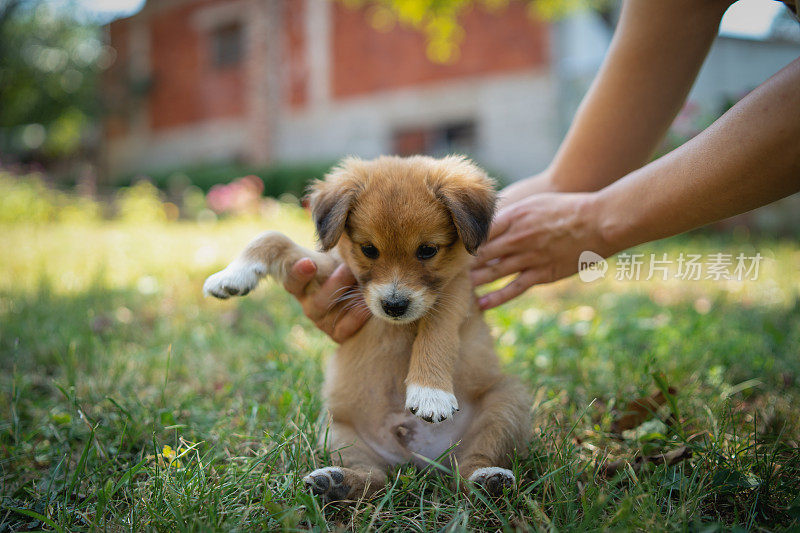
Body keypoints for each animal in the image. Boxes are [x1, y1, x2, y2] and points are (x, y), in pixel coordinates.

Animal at [205, 154, 532, 498]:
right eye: (369, 250)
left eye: (428, 250)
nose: (394, 306)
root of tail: (420, 461)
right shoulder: (339, 276)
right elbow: (273, 237)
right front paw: (232, 275)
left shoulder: (455, 293)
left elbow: (436, 332)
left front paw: (430, 393)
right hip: (336, 431)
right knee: (374, 477)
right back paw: (335, 483)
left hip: (506, 404)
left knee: (469, 465)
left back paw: (488, 479)